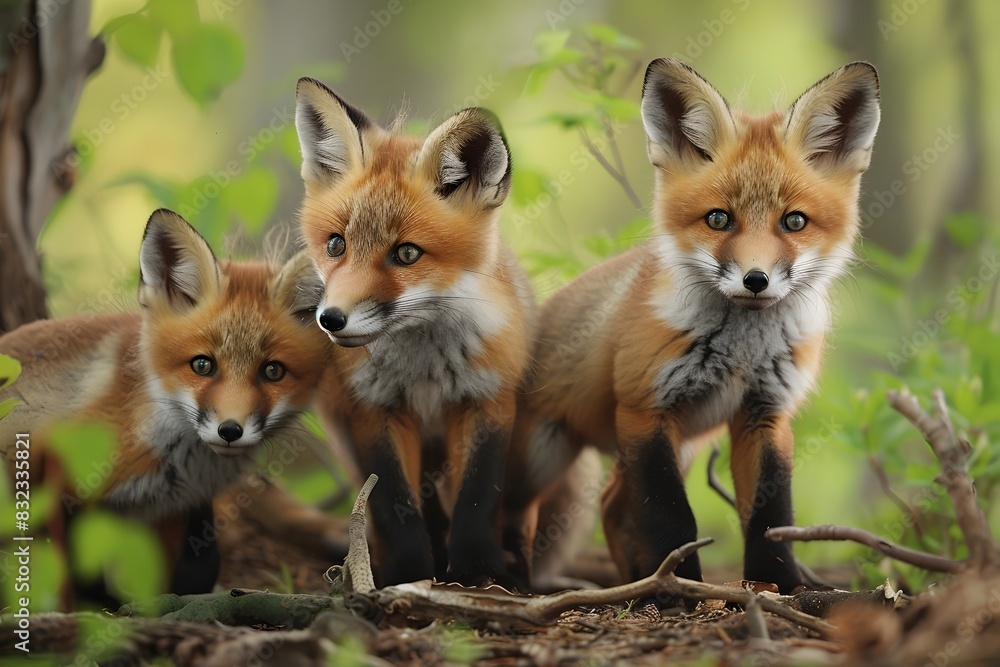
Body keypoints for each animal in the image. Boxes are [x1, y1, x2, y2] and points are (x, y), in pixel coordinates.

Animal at [0, 209, 334, 597]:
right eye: (202, 365)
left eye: (273, 371)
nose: (230, 431)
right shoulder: (67, 473)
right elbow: (82, 579)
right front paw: (105, 610)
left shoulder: (178, 506)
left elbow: (200, 567)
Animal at [295, 78, 534, 588]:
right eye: (336, 245)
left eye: (407, 254)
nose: (331, 319)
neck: (425, 369)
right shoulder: (375, 412)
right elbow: (394, 504)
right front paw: (407, 573)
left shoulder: (487, 401)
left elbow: (478, 497)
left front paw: (478, 571)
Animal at [503, 59, 881, 594]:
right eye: (718, 219)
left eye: (794, 222)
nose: (756, 280)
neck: (742, 352)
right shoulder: (645, 411)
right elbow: (671, 516)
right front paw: (680, 586)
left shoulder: (765, 414)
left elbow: (772, 517)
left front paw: (777, 586)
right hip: (541, 458)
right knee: (504, 508)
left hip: (677, 445)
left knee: (612, 503)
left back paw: (632, 578)